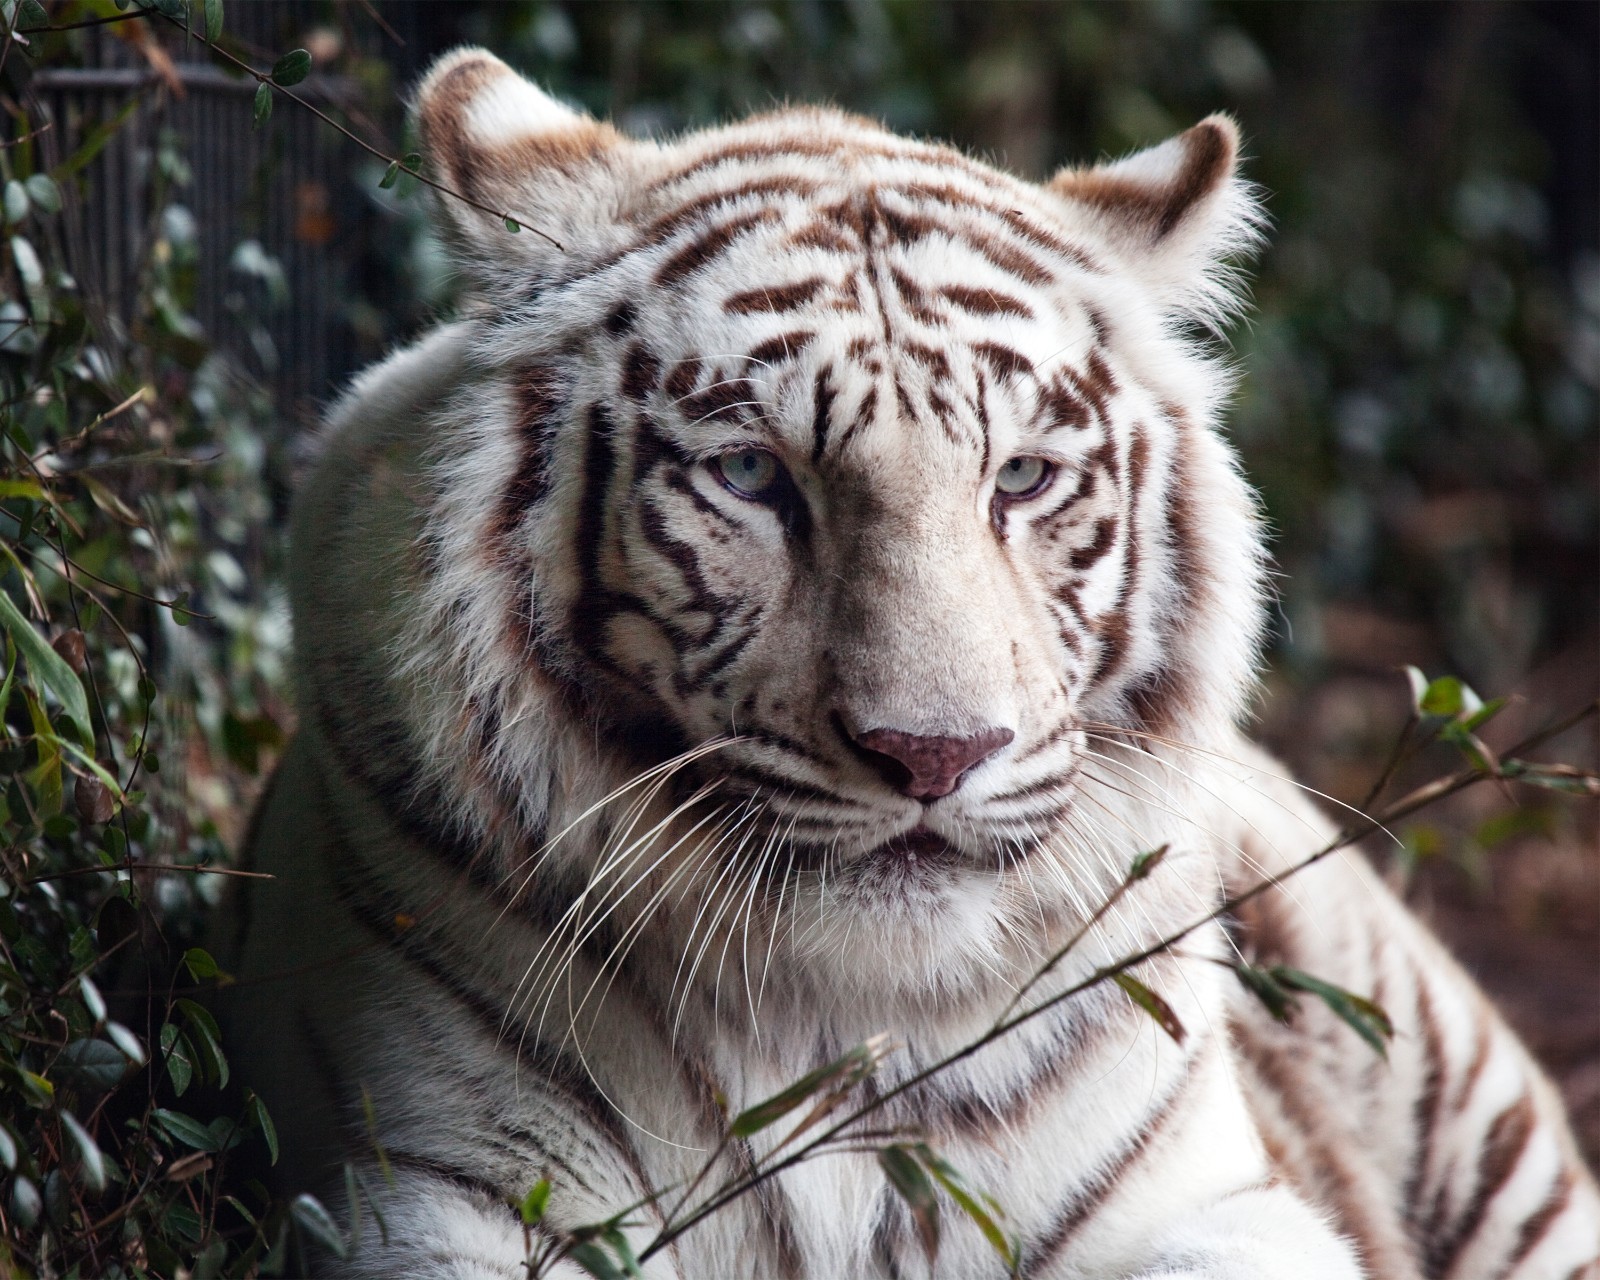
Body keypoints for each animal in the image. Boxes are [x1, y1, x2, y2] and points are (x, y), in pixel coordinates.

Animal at [225, 47, 1600, 1280]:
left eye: (1023, 477)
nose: (934, 754)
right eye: (750, 475)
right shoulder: (439, 1188)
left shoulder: (1203, 1199)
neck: (841, 1019)